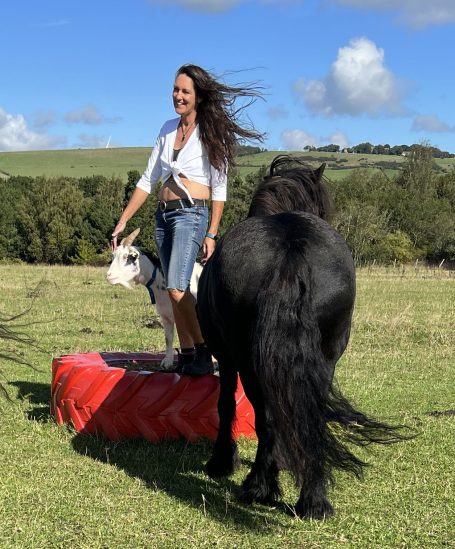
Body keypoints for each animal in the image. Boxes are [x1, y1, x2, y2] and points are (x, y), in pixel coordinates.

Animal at [197, 155, 408, 519]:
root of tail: (290, 246)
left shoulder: (225, 357)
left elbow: (226, 406)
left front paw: (222, 462)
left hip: (250, 363)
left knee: (269, 419)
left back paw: (260, 486)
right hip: (325, 358)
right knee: (308, 418)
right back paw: (313, 498)